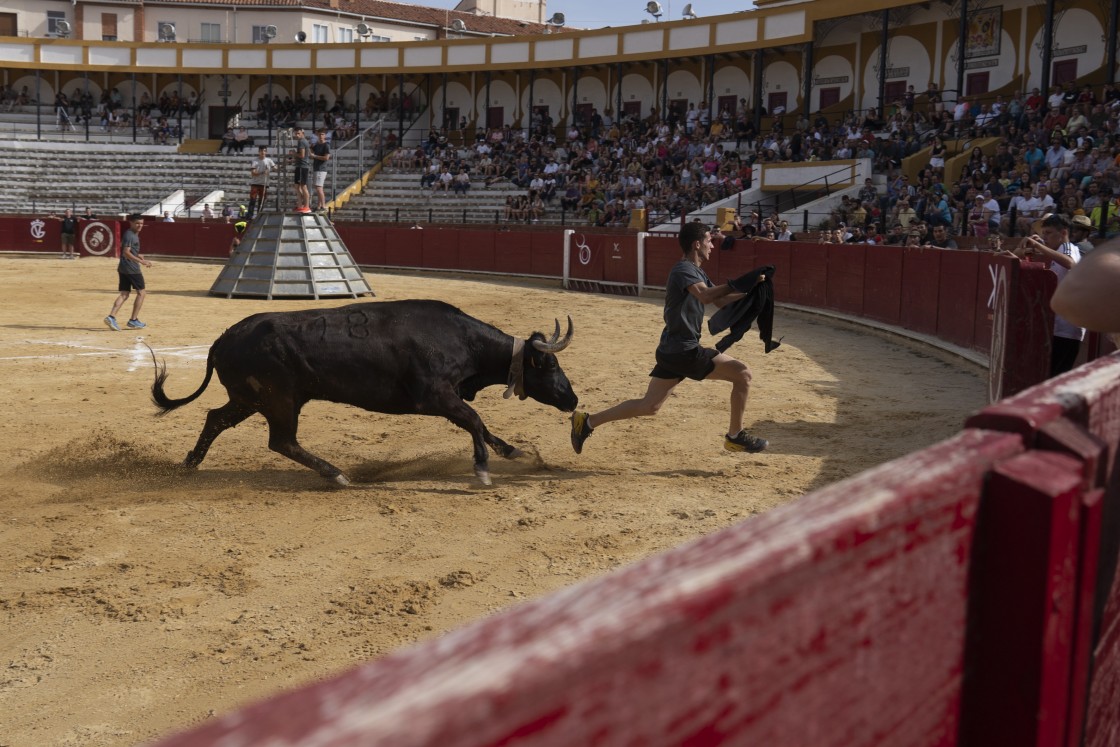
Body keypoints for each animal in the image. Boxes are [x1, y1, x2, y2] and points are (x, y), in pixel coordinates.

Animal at [148, 300, 577, 488]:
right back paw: (338, 475)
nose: (572, 400)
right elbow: (475, 420)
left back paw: (189, 464)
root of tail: (223, 339)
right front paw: (484, 470)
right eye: (551, 366)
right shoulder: (433, 396)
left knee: (216, 419)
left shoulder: (447, 397)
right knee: (282, 441)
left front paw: (516, 453)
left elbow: (482, 426)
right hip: (279, 401)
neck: (463, 340)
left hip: (250, 400)